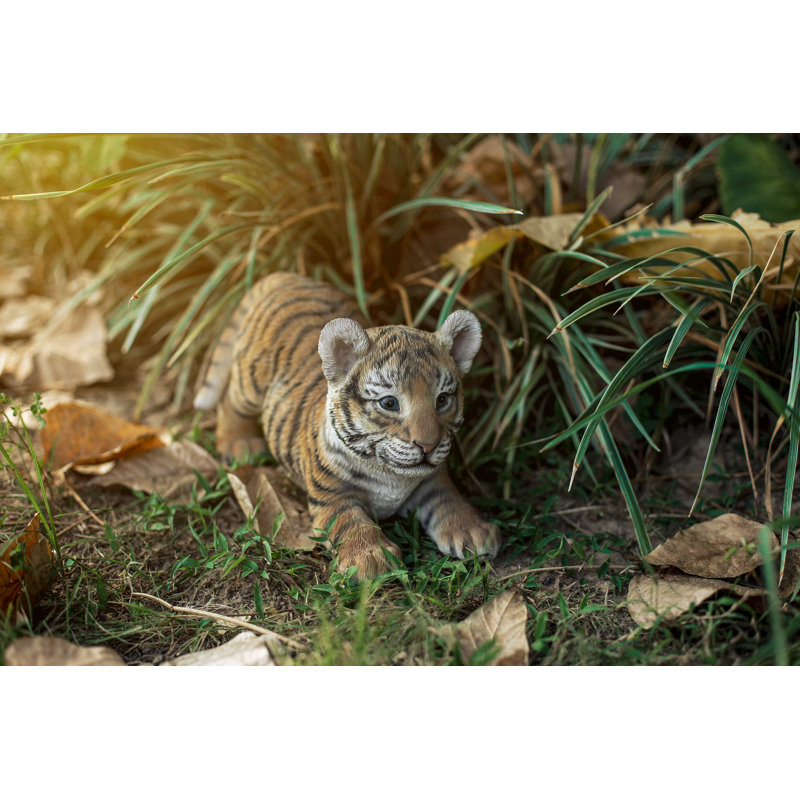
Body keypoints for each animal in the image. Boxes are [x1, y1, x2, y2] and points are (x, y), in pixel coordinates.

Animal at [194, 271, 500, 579]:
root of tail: (284, 276)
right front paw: (370, 559)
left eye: (442, 400)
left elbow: (449, 500)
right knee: (230, 401)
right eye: (390, 403)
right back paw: (240, 444)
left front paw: (472, 530)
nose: (428, 446)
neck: (389, 474)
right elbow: (351, 522)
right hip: (251, 380)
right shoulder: (331, 495)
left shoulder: (432, 479)